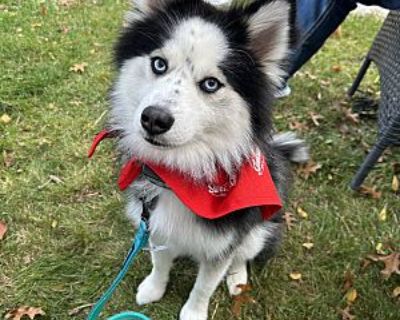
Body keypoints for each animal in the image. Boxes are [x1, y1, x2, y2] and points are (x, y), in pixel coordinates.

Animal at [104, 0, 310, 320]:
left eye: (211, 84)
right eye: (159, 64)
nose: (154, 119)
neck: (185, 173)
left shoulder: (223, 244)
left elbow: (204, 285)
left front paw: (193, 312)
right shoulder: (155, 223)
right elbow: (159, 263)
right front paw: (154, 288)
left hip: (258, 232)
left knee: (242, 256)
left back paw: (237, 279)